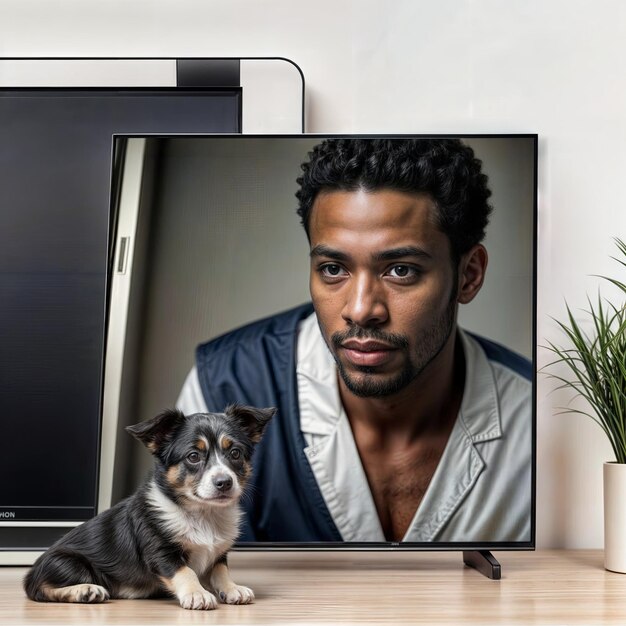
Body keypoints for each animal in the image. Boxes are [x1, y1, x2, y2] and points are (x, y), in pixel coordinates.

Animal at [24, 402, 272, 608]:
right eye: (193, 456)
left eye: (235, 453)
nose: (224, 483)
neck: (203, 513)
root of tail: (31, 572)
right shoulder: (161, 551)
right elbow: (185, 571)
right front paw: (197, 593)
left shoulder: (219, 553)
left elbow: (220, 571)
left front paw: (232, 589)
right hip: (68, 563)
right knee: (39, 590)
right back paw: (85, 590)